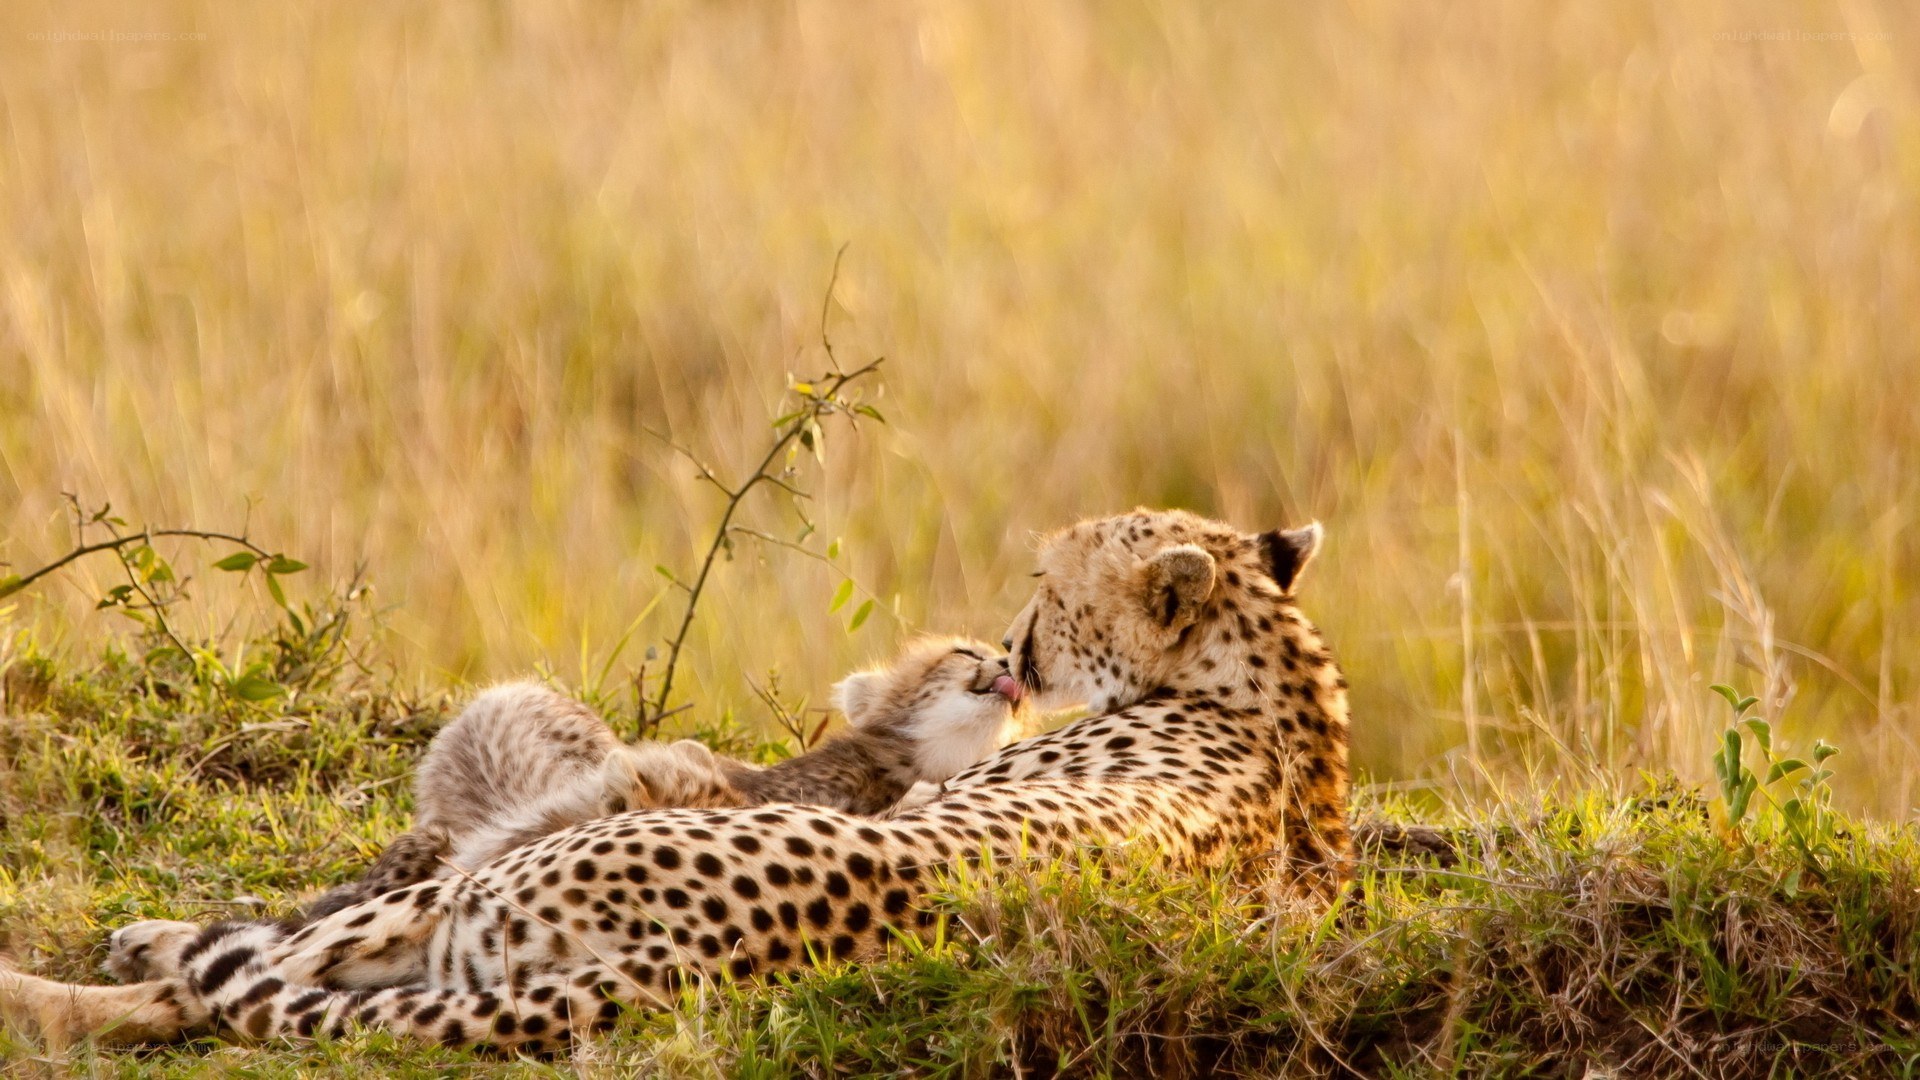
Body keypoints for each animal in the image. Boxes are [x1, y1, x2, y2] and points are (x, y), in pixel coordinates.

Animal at [0, 508, 1351, 1054]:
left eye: (1048, 588)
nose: (1015, 649)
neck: (1271, 676)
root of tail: (684, 962)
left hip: (470, 908)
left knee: (227, 985)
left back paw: (84, 978)